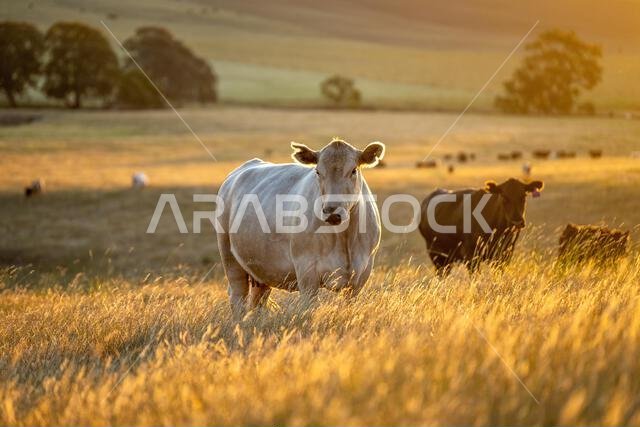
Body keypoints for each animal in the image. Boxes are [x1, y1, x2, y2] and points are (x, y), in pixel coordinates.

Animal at [217, 138, 385, 318]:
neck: (344, 239)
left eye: (353, 170)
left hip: (262, 271)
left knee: (257, 301)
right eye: (317, 171)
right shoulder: (307, 273)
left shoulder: (360, 277)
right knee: (237, 298)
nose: (332, 213)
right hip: (230, 260)